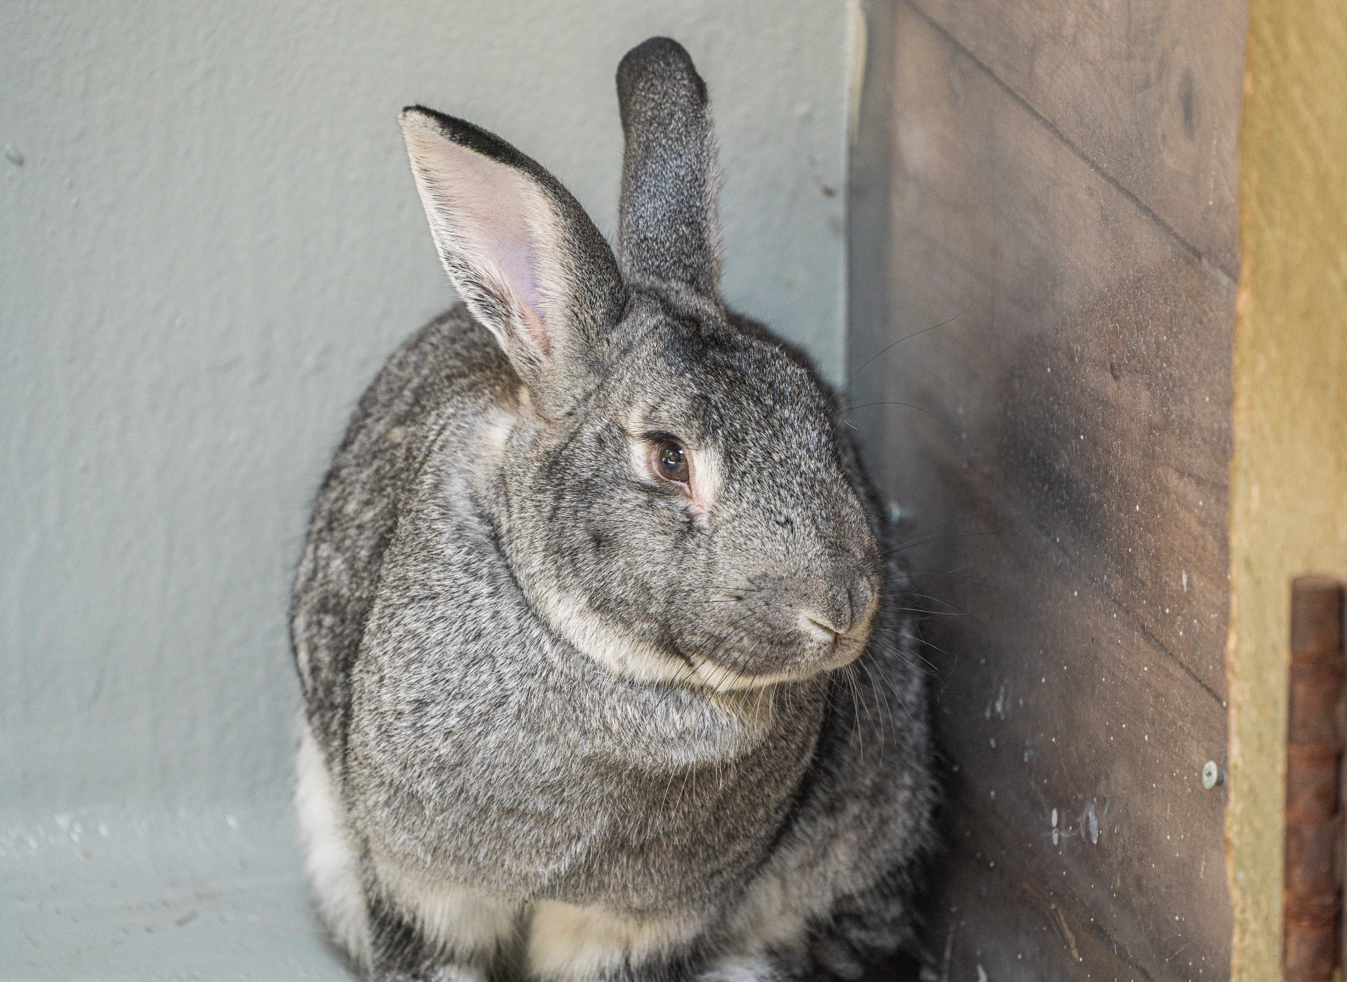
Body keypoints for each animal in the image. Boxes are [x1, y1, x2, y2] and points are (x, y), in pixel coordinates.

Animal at [290, 36, 935, 982]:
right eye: (668, 458)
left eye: (824, 418)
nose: (841, 613)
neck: (617, 666)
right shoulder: (419, 888)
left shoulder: (640, 926)